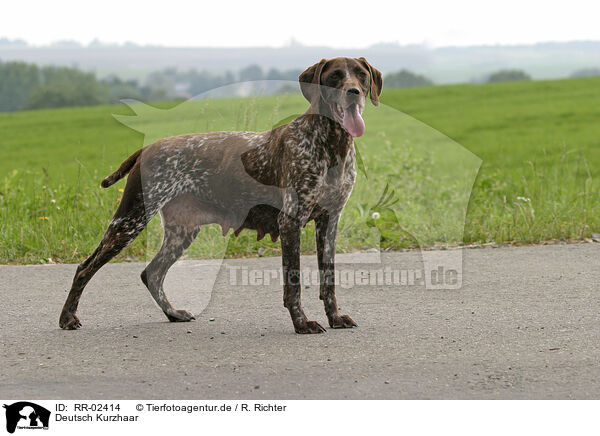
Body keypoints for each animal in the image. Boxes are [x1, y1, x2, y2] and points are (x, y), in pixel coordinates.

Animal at [59, 57, 380, 334]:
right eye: (335, 75)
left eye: (361, 75)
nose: (353, 93)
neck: (331, 145)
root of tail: (147, 148)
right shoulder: (291, 221)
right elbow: (294, 283)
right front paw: (301, 323)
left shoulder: (329, 222)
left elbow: (328, 280)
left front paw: (335, 318)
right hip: (129, 221)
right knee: (85, 267)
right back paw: (68, 317)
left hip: (181, 232)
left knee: (152, 273)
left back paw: (172, 313)